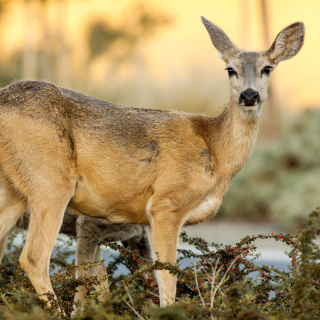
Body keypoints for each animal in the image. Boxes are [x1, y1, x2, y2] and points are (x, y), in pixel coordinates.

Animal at [0, 16, 304, 308]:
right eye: (230, 69)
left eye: (268, 68)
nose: (249, 96)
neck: (215, 151)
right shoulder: (166, 204)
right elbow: (167, 277)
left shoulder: (143, 223)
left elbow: (147, 276)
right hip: (51, 181)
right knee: (34, 258)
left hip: (13, 193)